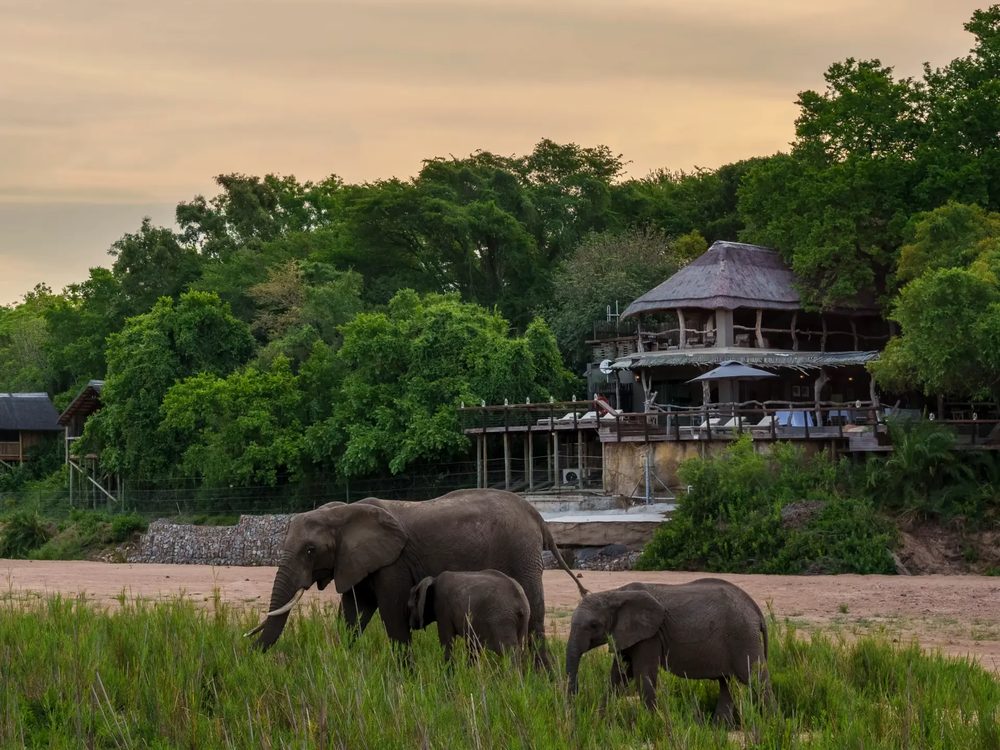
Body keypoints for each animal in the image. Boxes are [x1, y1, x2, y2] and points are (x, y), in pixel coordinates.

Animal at [246, 488, 586, 667]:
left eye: (310, 550)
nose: (248, 655)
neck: (343, 512)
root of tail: (537, 516)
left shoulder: (393, 563)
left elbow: (392, 614)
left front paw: (404, 678)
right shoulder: (356, 561)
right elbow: (354, 614)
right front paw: (346, 664)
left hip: (521, 554)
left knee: (535, 619)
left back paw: (543, 680)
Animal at [565, 579, 771, 724]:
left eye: (593, 625)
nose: (574, 706)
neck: (615, 594)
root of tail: (756, 609)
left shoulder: (650, 635)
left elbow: (643, 675)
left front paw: (651, 724)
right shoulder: (626, 633)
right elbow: (619, 675)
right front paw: (599, 721)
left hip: (743, 635)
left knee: (756, 679)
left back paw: (772, 722)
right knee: (726, 682)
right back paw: (719, 728)